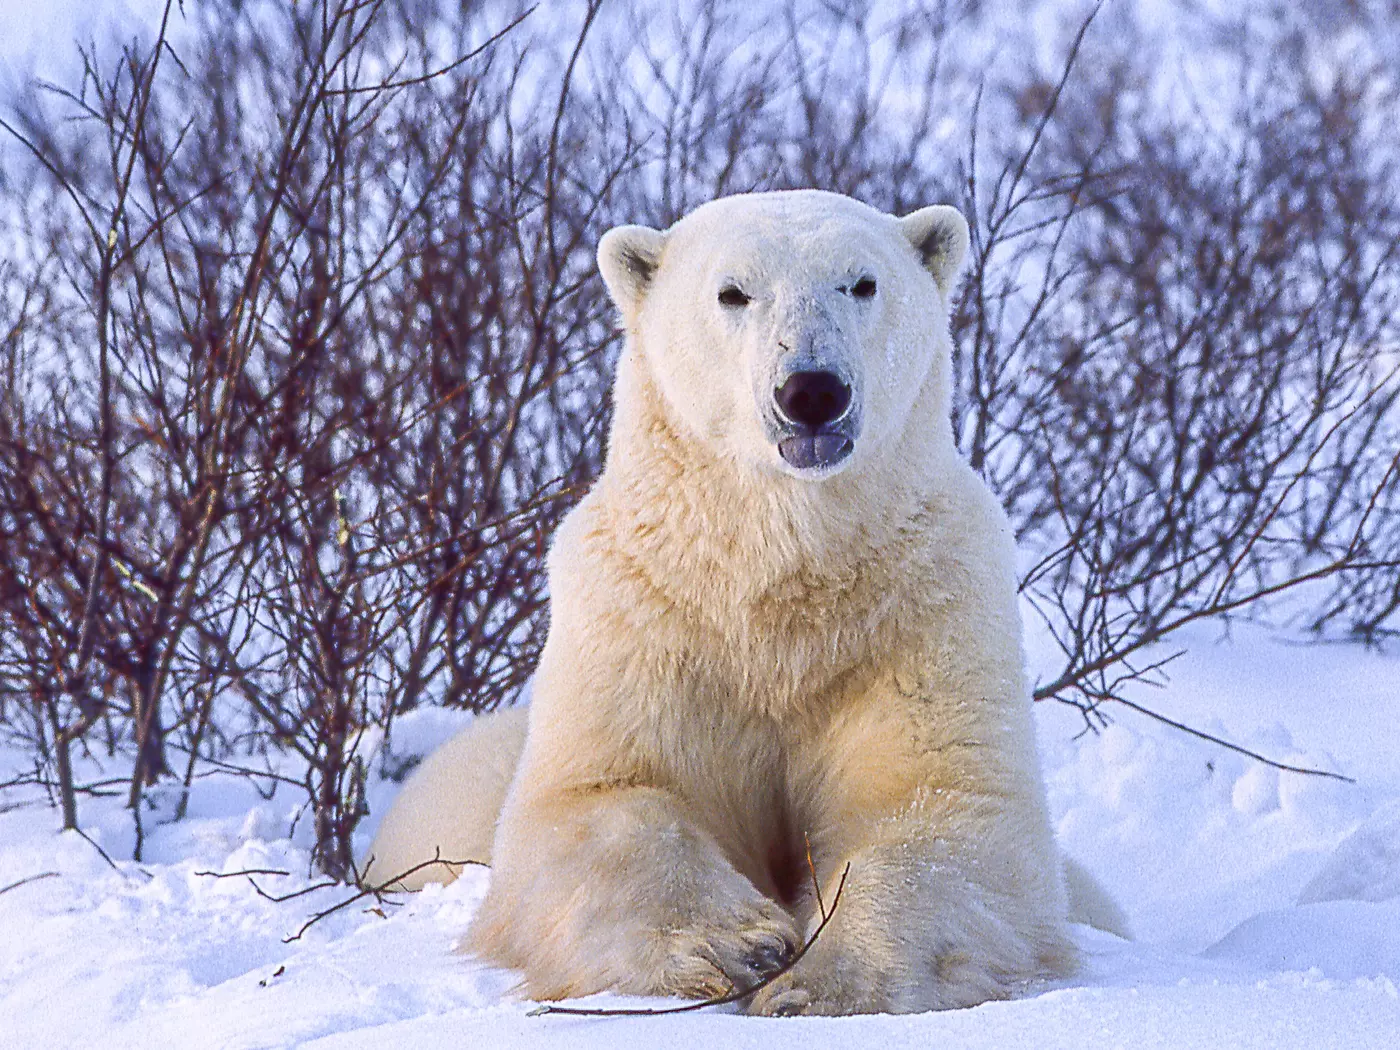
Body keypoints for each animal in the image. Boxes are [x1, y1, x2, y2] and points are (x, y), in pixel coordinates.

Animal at [364, 189, 1108, 1015]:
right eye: (733, 292)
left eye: (862, 282)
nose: (812, 391)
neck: (777, 586)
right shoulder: (644, 617)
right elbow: (602, 797)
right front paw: (737, 944)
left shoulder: (922, 612)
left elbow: (942, 804)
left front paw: (817, 980)